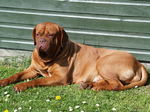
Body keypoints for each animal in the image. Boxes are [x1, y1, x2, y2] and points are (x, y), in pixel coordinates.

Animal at [0, 22, 148, 92]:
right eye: (38, 34)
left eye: (51, 35)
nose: (41, 41)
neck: (46, 60)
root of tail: (139, 63)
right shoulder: (32, 70)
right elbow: (16, 75)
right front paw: (3, 81)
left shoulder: (59, 77)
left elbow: (38, 81)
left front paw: (21, 86)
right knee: (110, 82)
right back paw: (88, 84)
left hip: (103, 62)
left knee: (117, 84)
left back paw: (95, 87)